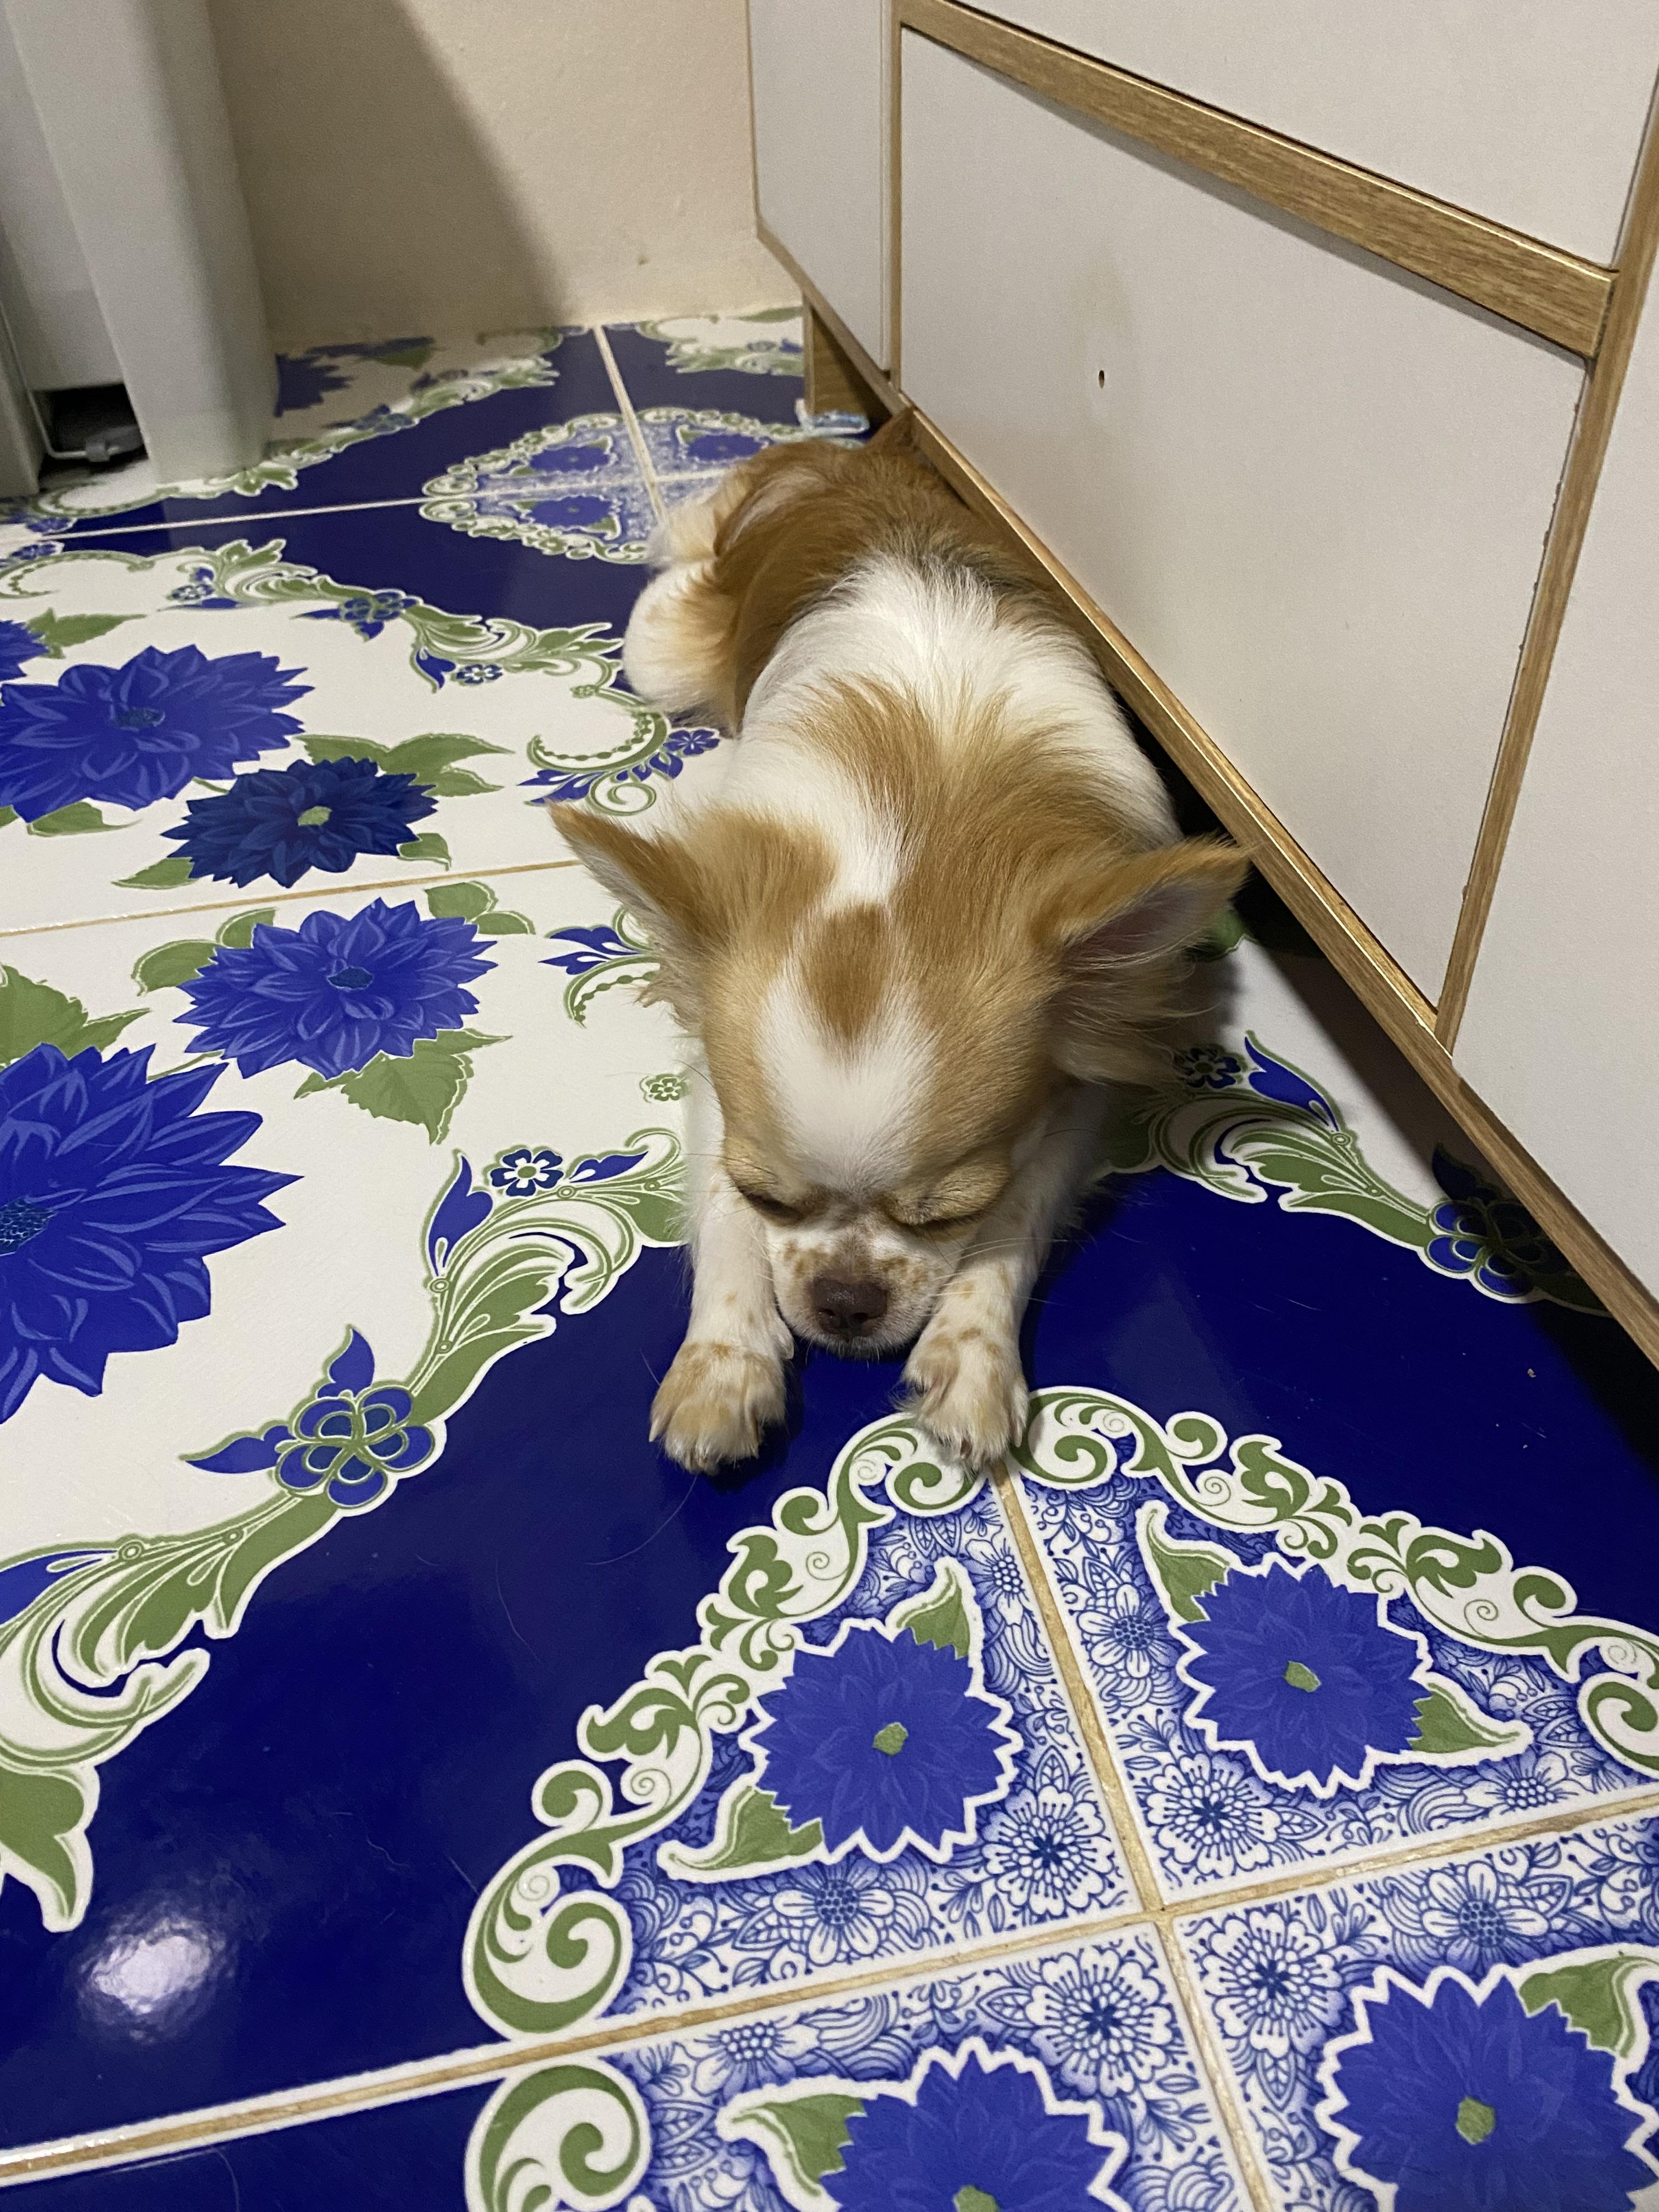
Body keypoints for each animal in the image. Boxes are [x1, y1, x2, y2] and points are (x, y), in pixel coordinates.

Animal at [554, 415, 1245, 1474]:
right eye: (769, 1199)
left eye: (948, 1214)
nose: (845, 1300)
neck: (913, 836)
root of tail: (833, 460)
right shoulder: (718, 1086)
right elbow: (716, 1213)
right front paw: (723, 1360)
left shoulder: (1075, 1084)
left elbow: (1019, 1215)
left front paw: (971, 1350)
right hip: (661, 650)